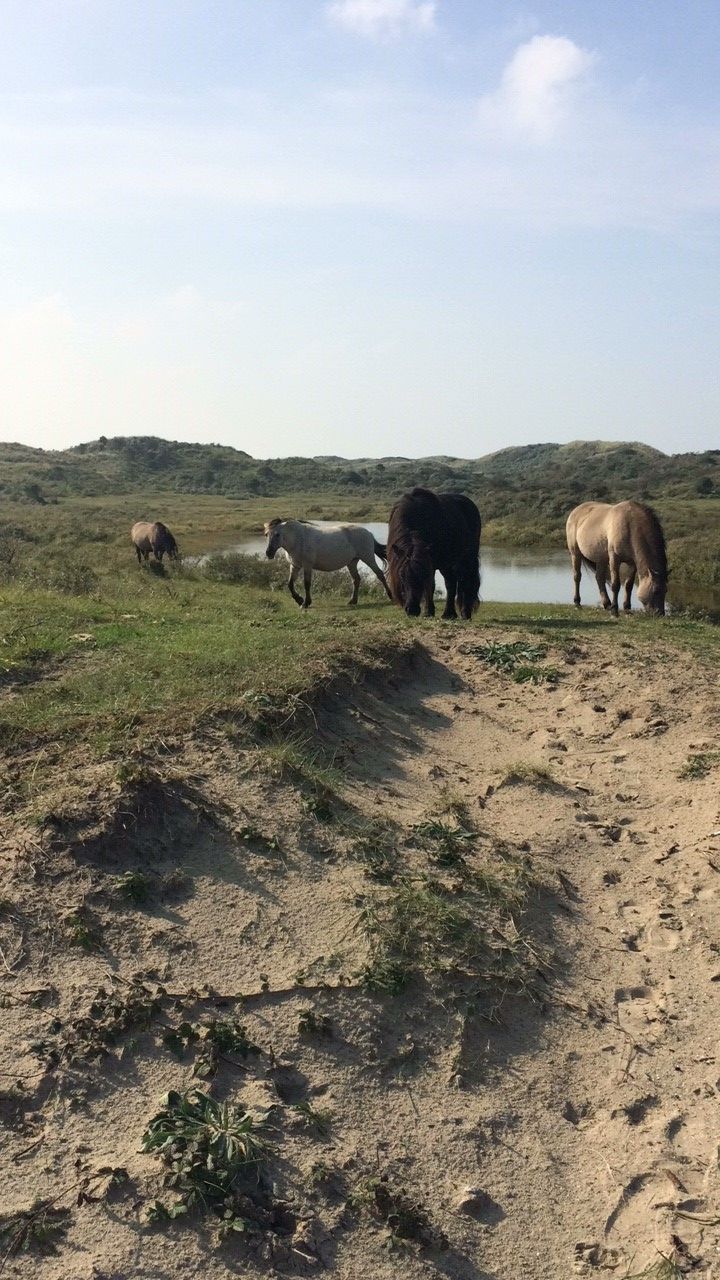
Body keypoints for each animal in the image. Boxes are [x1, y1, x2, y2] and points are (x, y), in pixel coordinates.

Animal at [384, 483, 479, 619]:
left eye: (421, 575)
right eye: (402, 575)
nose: (412, 610)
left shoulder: (431, 563)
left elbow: (430, 585)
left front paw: (428, 612)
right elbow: (432, 586)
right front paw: (429, 612)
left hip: (466, 559)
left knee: (465, 581)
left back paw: (464, 613)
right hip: (447, 564)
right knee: (451, 583)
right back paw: (449, 614)